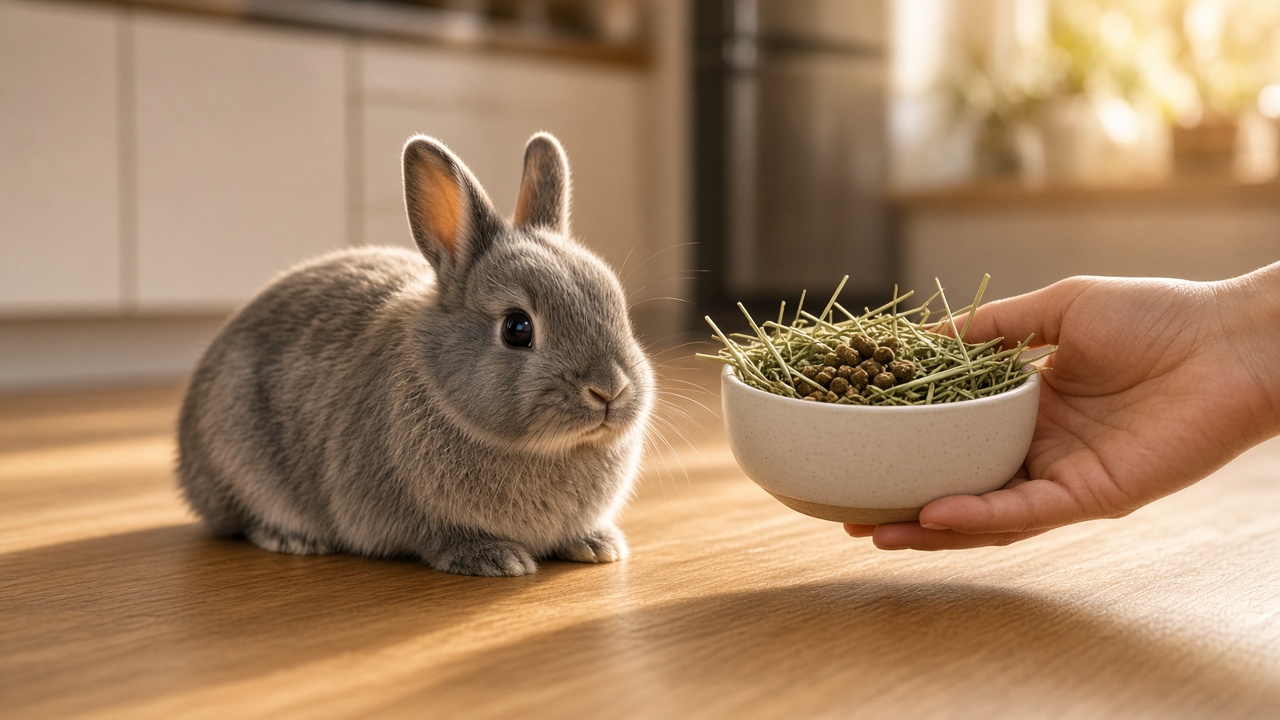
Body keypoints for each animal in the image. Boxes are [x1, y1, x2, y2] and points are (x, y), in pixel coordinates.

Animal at [176, 132, 654, 577]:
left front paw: (598, 545)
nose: (609, 390)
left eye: (616, 304)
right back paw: (292, 538)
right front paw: (497, 560)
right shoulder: (415, 515)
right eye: (517, 329)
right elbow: (441, 537)